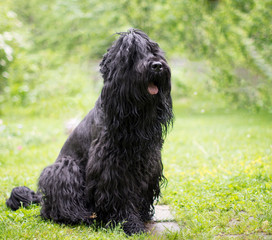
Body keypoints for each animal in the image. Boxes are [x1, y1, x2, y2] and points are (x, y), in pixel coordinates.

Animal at [6, 29, 173, 235]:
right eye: (132, 55)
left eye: (153, 50)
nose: (157, 66)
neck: (131, 115)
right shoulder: (111, 166)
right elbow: (120, 196)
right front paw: (129, 223)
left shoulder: (148, 162)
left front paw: (141, 215)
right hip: (65, 167)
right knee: (53, 208)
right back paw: (80, 216)